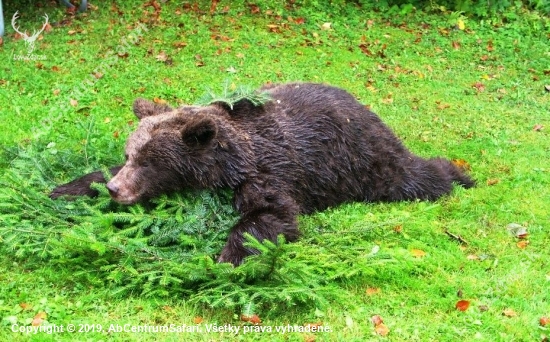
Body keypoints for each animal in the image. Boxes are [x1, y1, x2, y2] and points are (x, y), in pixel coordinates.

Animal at [49, 82, 476, 264]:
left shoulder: (271, 169)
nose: (116, 189)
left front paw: (227, 257)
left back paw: (459, 175)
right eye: (130, 153)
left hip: (362, 160)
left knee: (409, 176)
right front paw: (65, 189)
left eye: (151, 162)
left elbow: (270, 214)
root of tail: (363, 105)